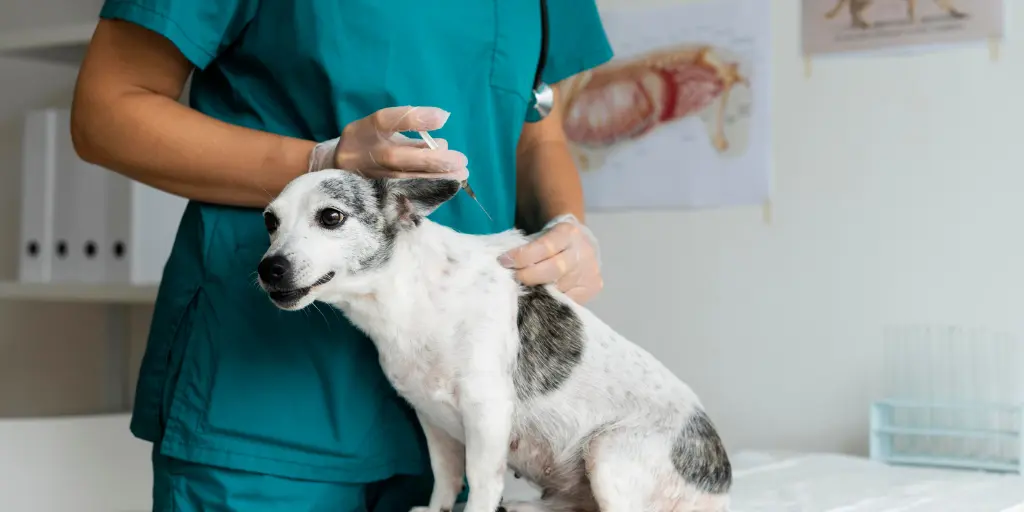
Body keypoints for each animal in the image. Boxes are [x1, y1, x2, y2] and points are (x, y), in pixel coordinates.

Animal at [256, 169, 737, 509]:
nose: (269, 267)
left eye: (331, 217)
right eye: (269, 221)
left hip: (608, 454)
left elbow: (481, 486)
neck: (410, 295)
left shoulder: (486, 415)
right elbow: (446, 480)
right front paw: (436, 509)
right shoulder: (432, 421)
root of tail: (722, 482)